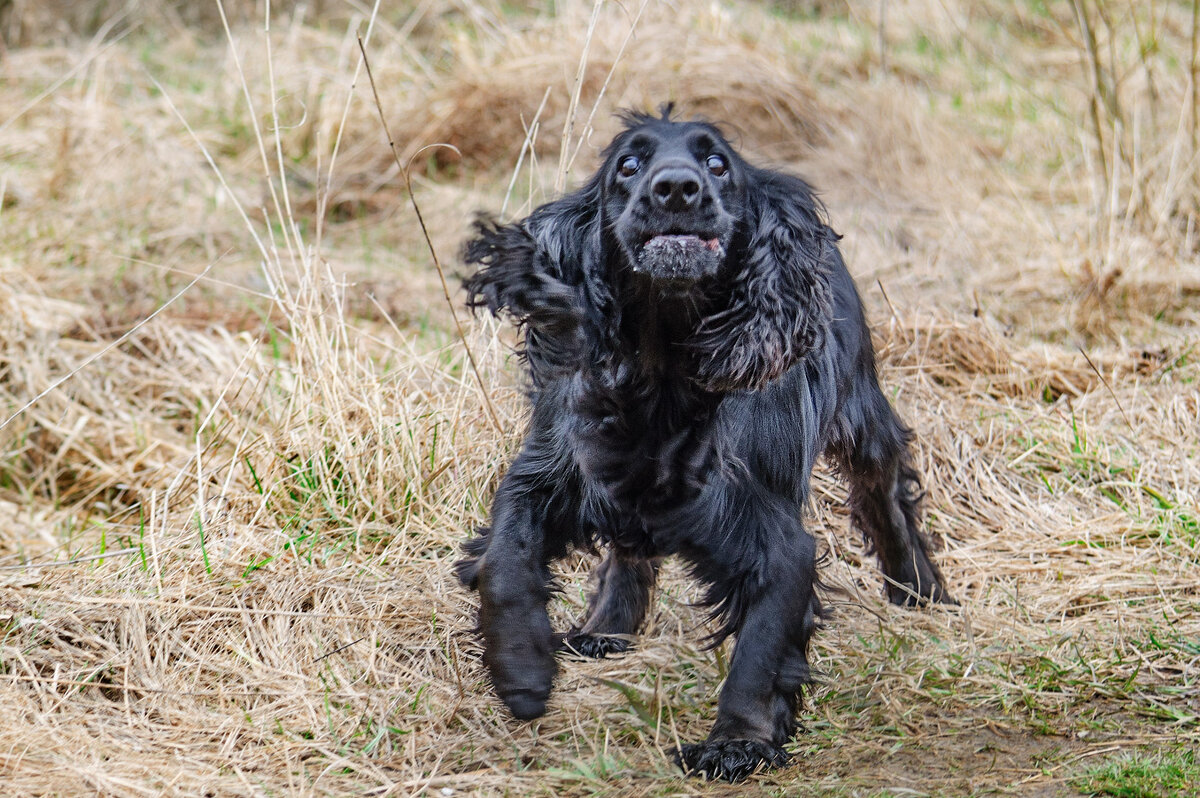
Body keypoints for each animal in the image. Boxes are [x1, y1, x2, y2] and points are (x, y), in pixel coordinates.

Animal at [453, 104, 950, 777]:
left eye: (717, 163)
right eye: (628, 165)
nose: (676, 188)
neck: (661, 380)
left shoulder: (771, 536)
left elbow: (761, 651)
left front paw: (737, 741)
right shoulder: (552, 471)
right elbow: (505, 557)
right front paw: (522, 670)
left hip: (861, 410)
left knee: (885, 492)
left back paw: (918, 588)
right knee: (628, 551)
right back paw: (606, 627)